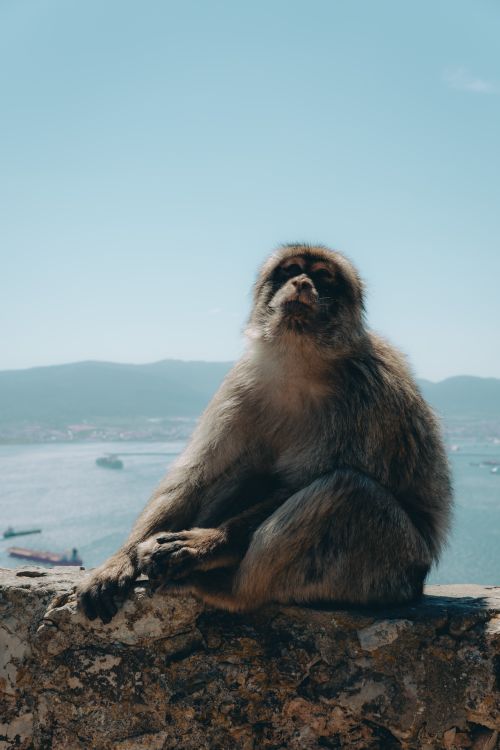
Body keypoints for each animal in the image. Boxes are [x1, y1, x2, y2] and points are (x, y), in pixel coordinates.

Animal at [77, 244, 452, 623]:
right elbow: (195, 476)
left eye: (323, 276)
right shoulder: (241, 384)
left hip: (389, 569)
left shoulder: (370, 397)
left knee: (349, 491)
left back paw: (228, 588)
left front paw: (204, 544)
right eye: (291, 270)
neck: (302, 365)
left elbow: (299, 485)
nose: (301, 282)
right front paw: (117, 563)